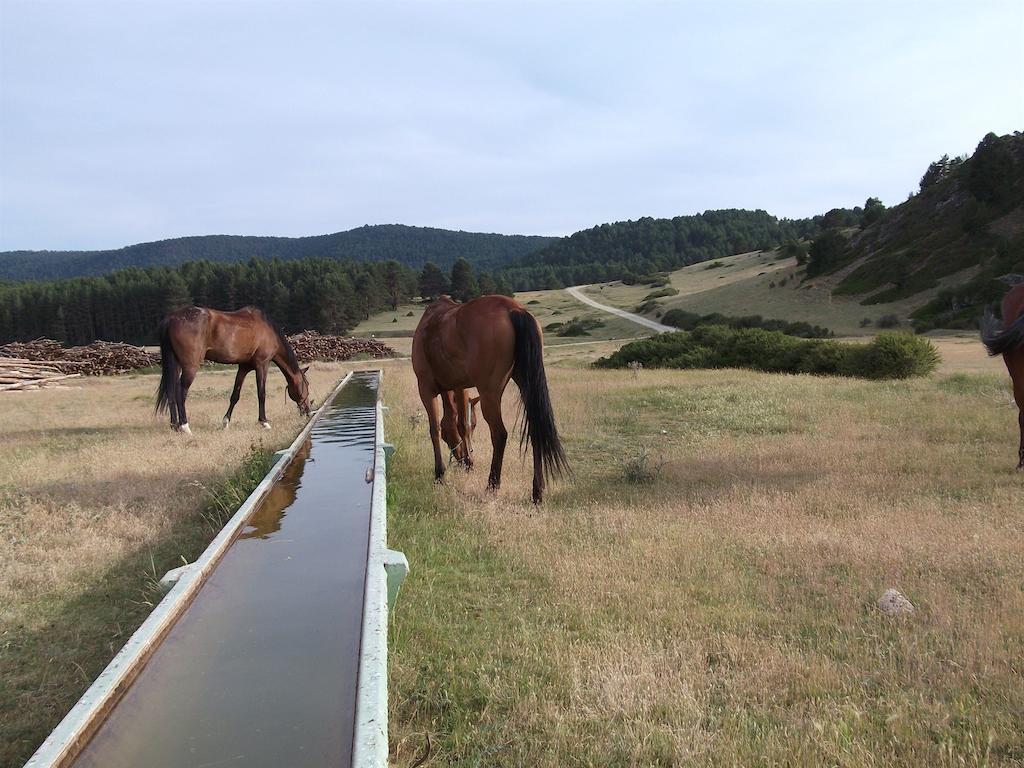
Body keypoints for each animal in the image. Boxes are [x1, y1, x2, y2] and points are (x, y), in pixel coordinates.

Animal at [155, 309, 311, 436]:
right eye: (307, 385)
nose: (308, 411)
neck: (268, 331)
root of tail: (171, 318)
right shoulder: (262, 364)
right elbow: (261, 394)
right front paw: (264, 422)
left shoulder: (243, 367)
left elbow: (235, 395)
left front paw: (225, 422)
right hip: (190, 367)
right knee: (180, 392)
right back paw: (185, 426)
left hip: (175, 364)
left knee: (170, 392)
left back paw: (174, 426)